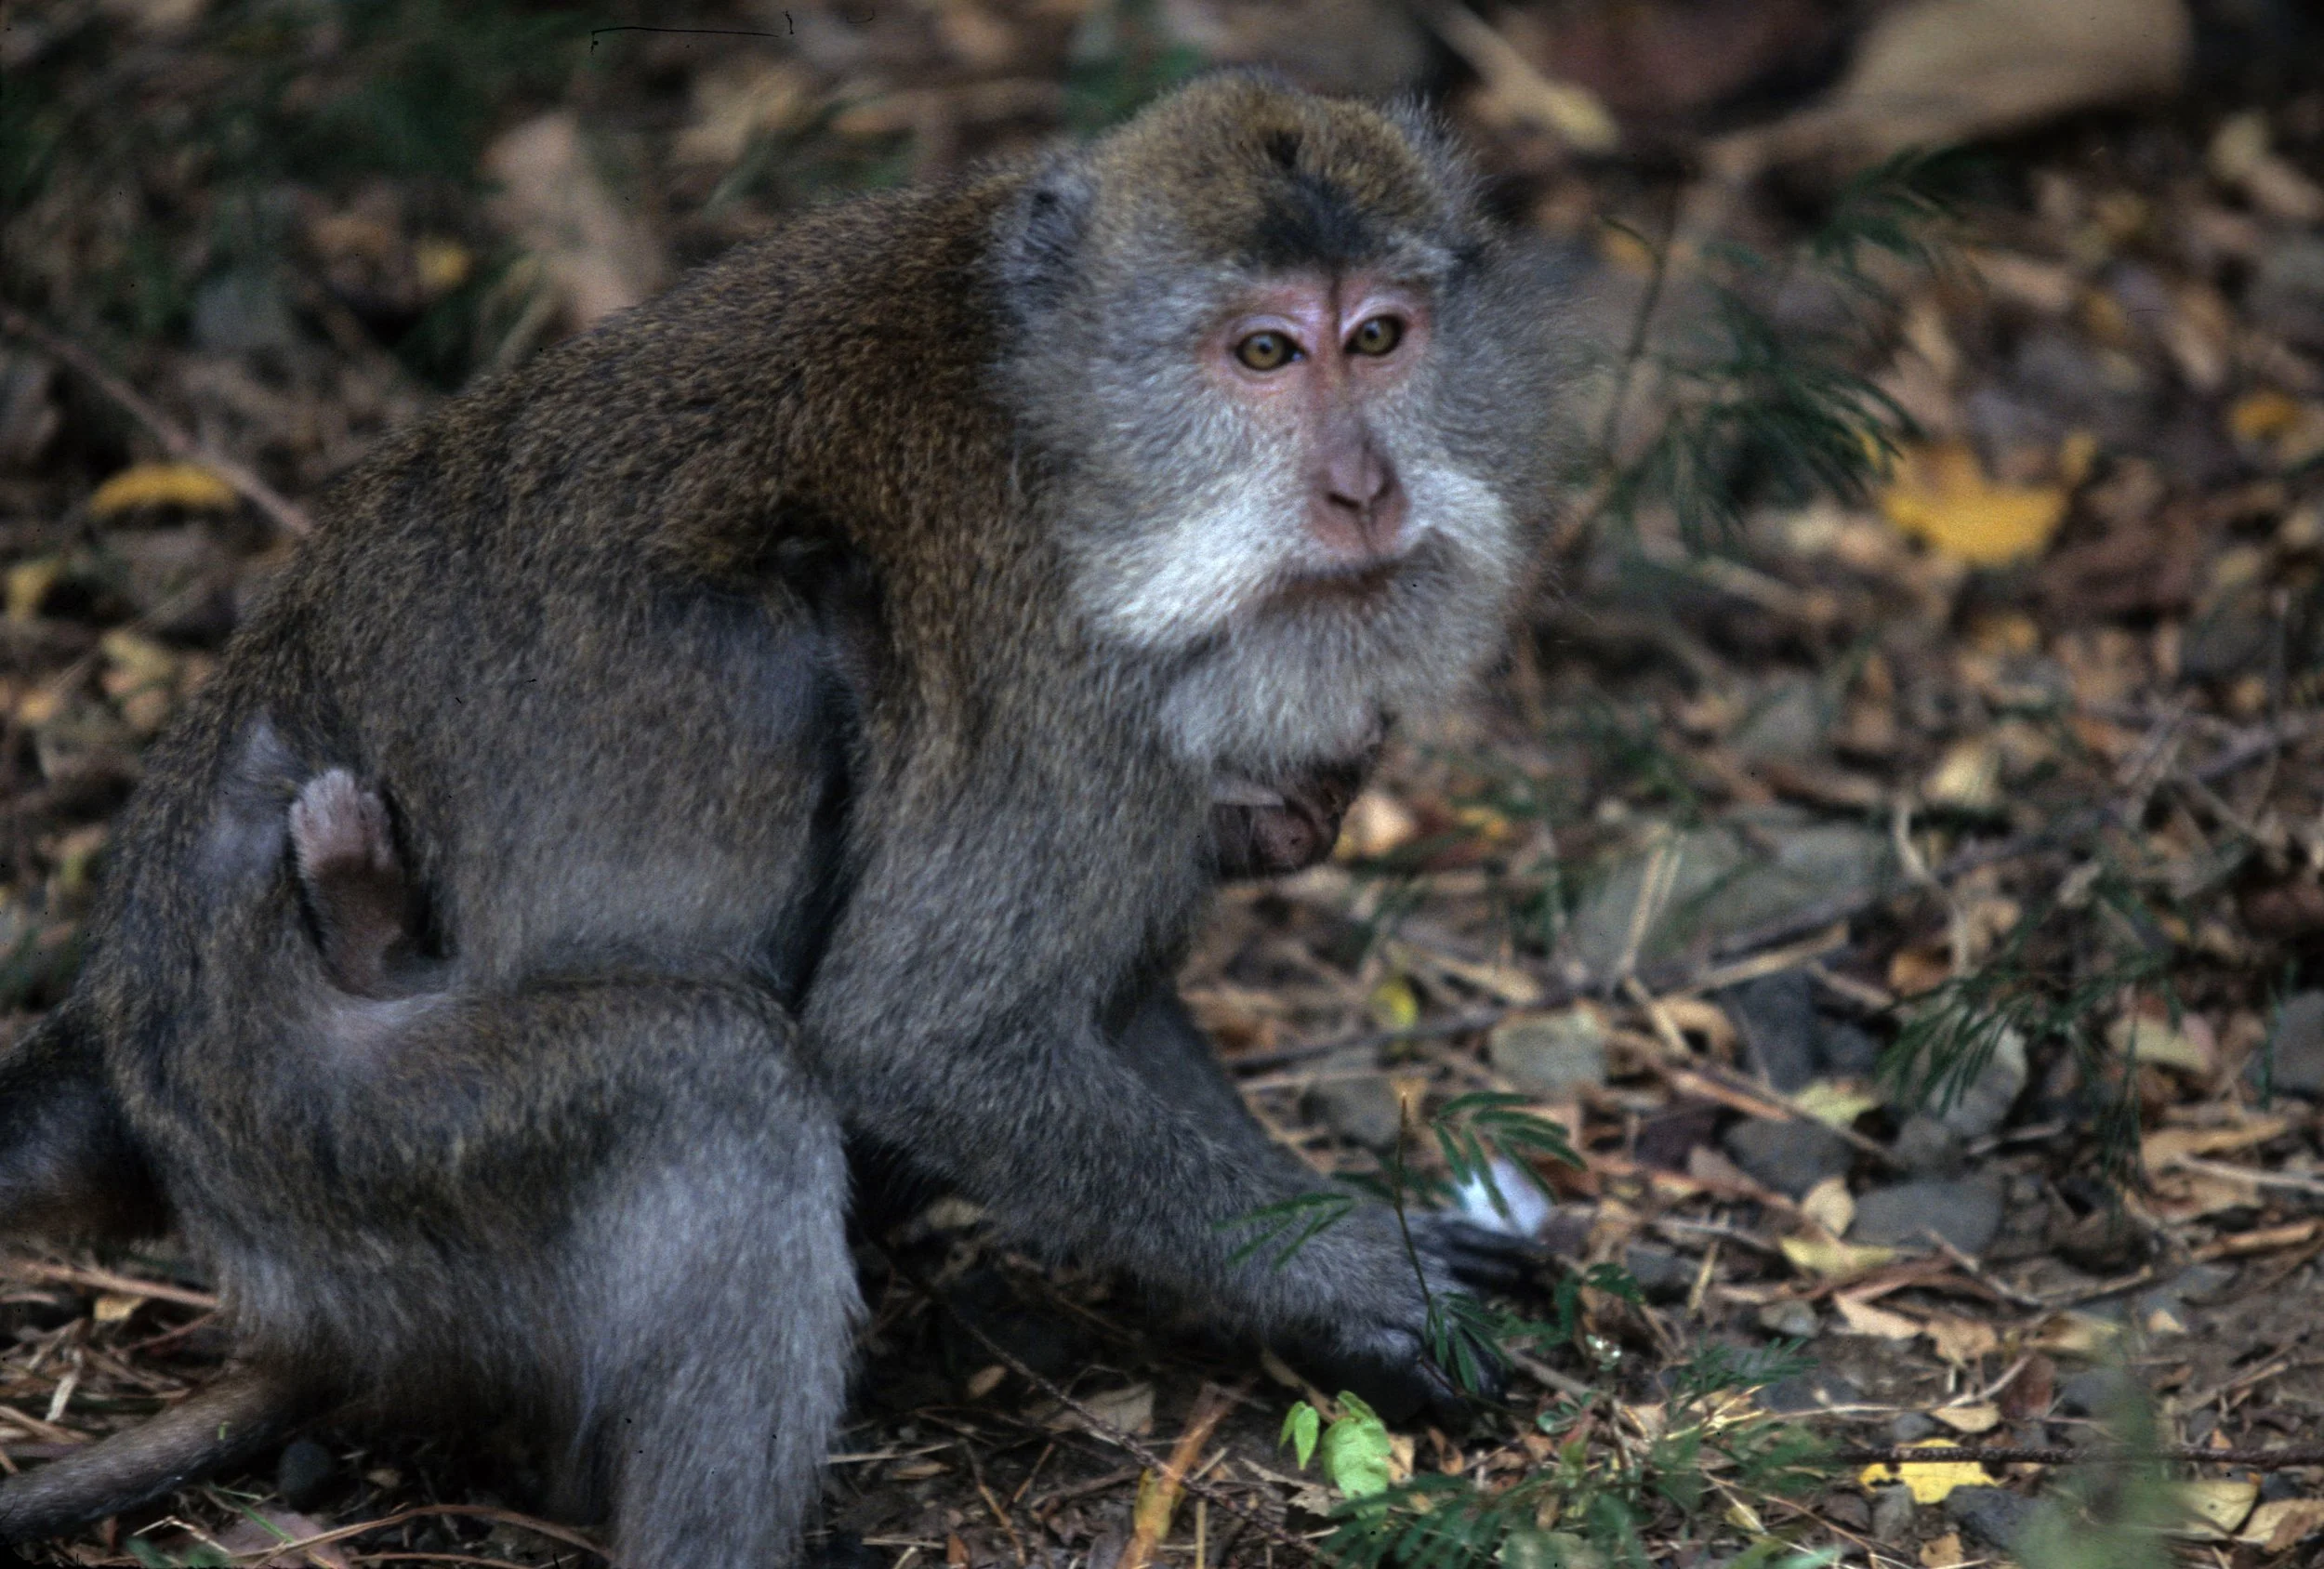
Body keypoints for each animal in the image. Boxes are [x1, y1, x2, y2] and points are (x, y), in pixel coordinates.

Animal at [0, 74, 1570, 1564]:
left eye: (1380, 338)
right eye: (1263, 353)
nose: (1363, 490)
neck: (1069, 429)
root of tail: (131, 1022)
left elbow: (1102, 1009)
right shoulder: (1062, 685)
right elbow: (924, 1039)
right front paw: (1354, 1268)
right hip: (335, 1144)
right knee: (718, 1071)